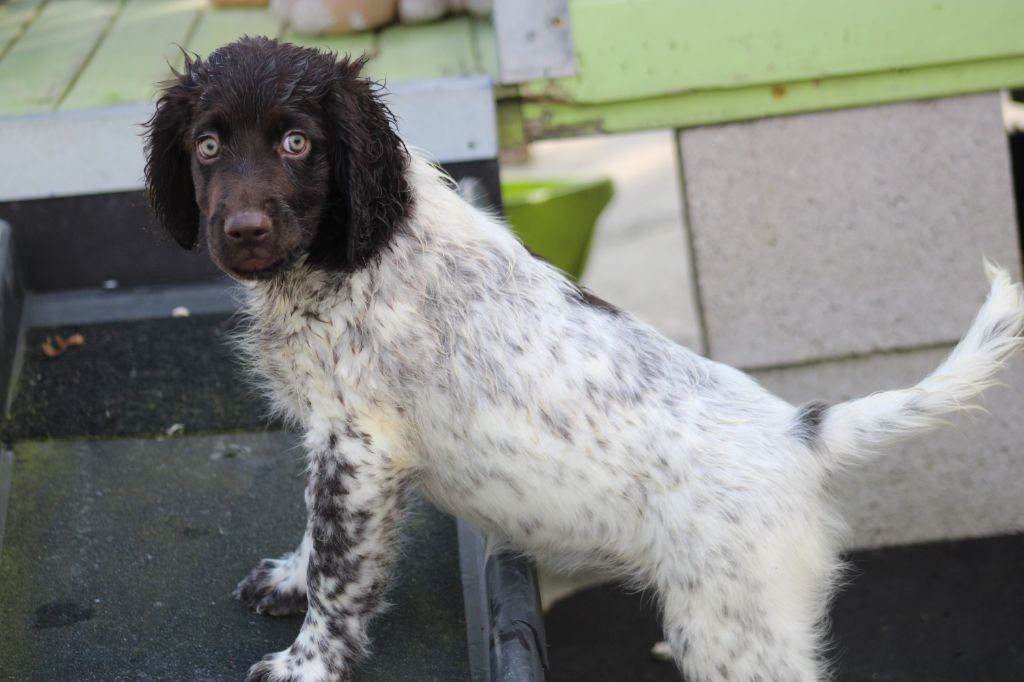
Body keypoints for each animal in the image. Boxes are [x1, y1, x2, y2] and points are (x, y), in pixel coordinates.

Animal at [144, 37, 1024, 679]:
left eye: (298, 142)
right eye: (208, 144)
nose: (242, 231)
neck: (351, 252)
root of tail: (800, 431)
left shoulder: (361, 448)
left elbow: (340, 571)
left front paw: (307, 663)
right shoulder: (336, 440)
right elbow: (313, 533)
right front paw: (288, 580)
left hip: (735, 625)